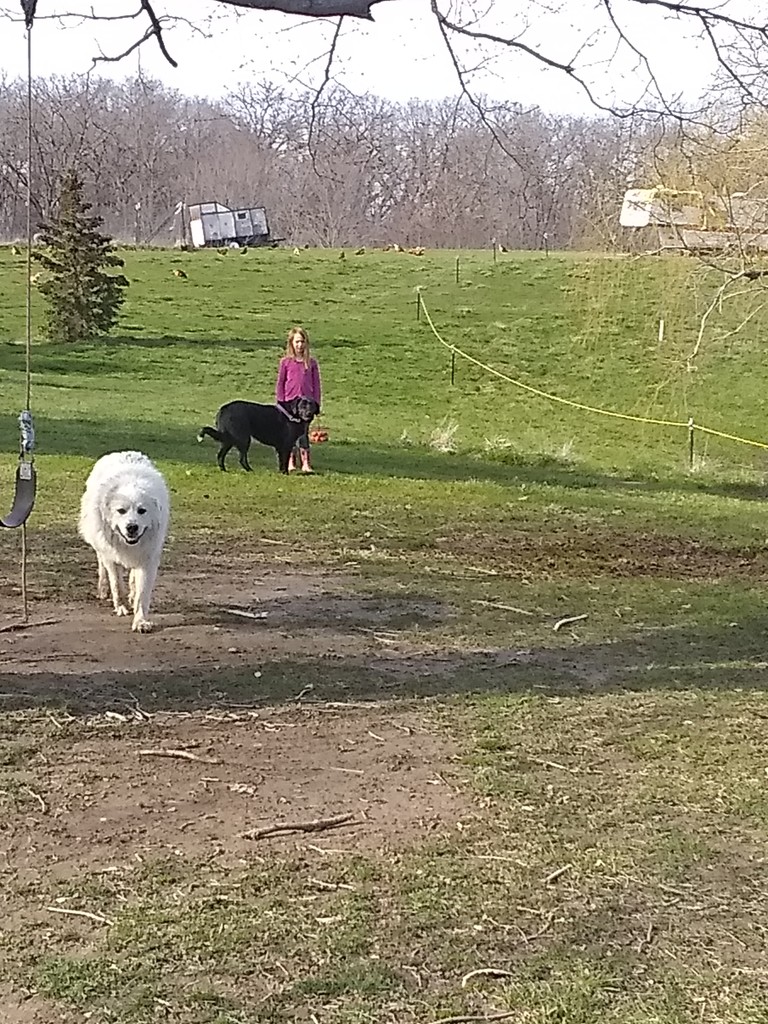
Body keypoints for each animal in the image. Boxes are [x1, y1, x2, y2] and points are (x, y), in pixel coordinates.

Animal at [78, 451, 170, 633]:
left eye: (142, 510)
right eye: (121, 510)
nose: (132, 527)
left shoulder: (148, 558)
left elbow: (142, 594)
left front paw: (141, 621)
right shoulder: (110, 555)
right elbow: (116, 584)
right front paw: (121, 606)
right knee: (102, 568)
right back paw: (103, 589)